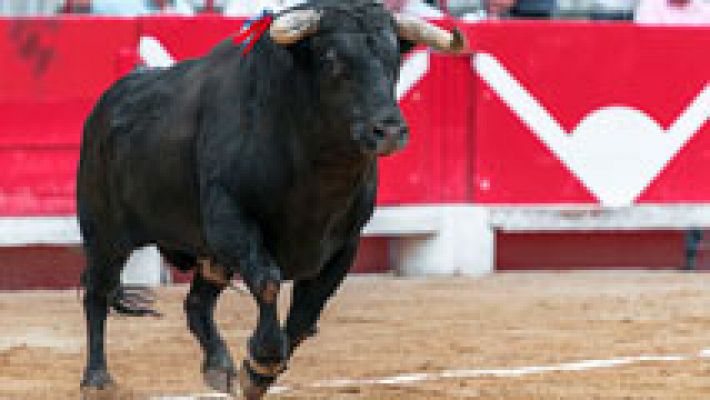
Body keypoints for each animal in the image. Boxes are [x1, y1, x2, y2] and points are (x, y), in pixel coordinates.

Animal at [78, 1, 468, 398]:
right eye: (332, 59)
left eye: (395, 60)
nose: (389, 131)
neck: (319, 175)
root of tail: (106, 104)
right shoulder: (232, 220)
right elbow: (267, 281)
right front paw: (264, 359)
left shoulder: (346, 243)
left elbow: (308, 311)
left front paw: (258, 373)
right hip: (104, 233)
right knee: (97, 294)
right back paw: (97, 378)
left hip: (211, 256)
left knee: (197, 303)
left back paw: (219, 366)